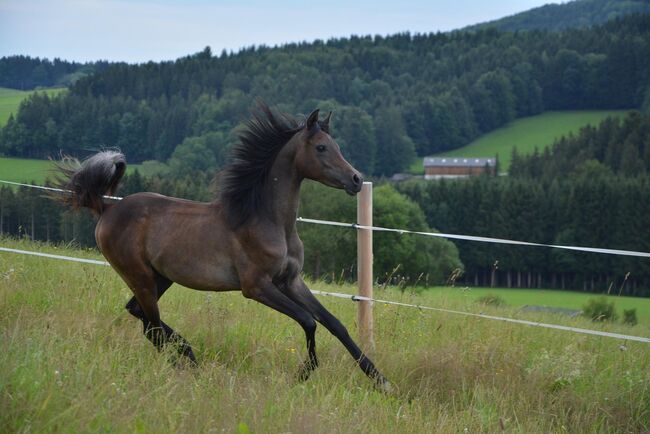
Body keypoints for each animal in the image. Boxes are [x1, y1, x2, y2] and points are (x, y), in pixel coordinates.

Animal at [55, 104, 388, 390]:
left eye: (336, 146)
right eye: (321, 147)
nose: (356, 179)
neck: (268, 220)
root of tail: (107, 208)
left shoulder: (291, 281)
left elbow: (334, 323)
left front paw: (380, 380)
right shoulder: (256, 286)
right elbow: (308, 320)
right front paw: (304, 373)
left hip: (160, 277)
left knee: (141, 317)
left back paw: (188, 357)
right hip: (139, 276)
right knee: (151, 326)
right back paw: (188, 362)